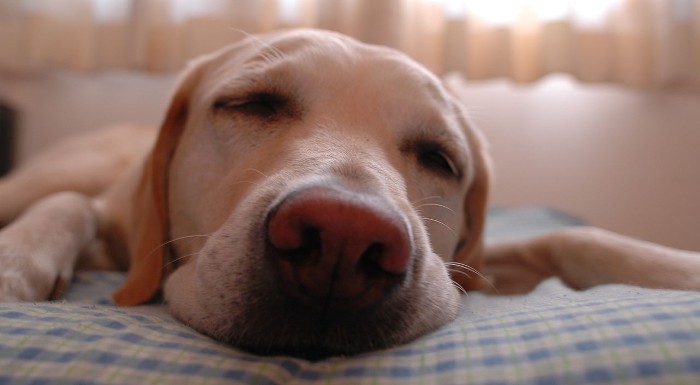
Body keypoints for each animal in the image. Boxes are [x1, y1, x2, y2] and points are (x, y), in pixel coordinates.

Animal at [1, 30, 700, 360]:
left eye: (440, 158)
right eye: (252, 104)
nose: (342, 238)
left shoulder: (468, 267)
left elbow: (572, 235)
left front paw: (676, 266)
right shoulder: (108, 218)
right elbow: (69, 206)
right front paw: (16, 263)